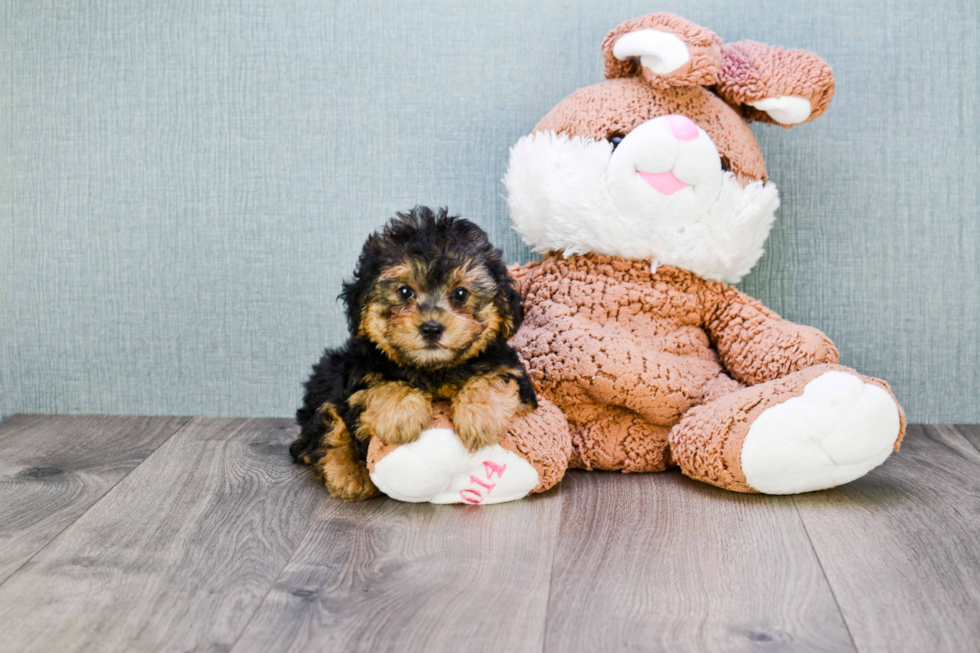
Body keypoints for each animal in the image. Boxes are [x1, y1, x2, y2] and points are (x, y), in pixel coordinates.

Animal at [290, 206, 536, 502]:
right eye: (405, 291)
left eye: (461, 294)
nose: (431, 328)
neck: (433, 369)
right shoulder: (360, 373)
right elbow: (379, 384)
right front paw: (400, 415)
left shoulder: (512, 369)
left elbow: (493, 378)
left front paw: (479, 417)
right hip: (328, 377)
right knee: (325, 424)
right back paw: (348, 474)